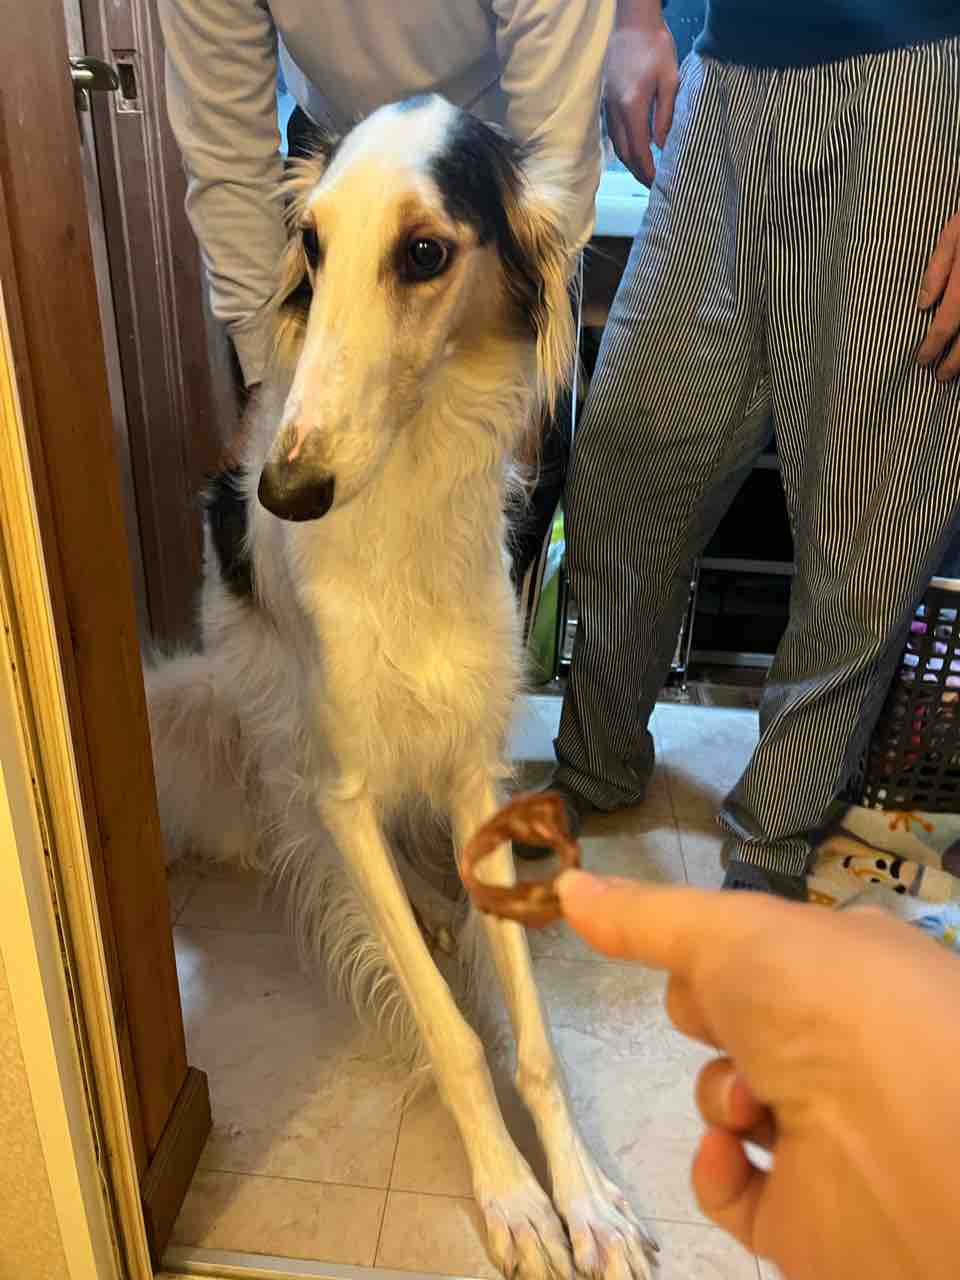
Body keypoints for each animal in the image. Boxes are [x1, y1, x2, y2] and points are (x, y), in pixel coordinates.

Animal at [147, 95, 655, 1280]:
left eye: (424, 253)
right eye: (311, 244)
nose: (284, 492)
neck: (404, 509)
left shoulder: (471, 775)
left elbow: (529, 1037)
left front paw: (586, 1200)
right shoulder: (344, 791)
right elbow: (452, 1028)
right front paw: (515, 1197)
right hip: (247, 725)